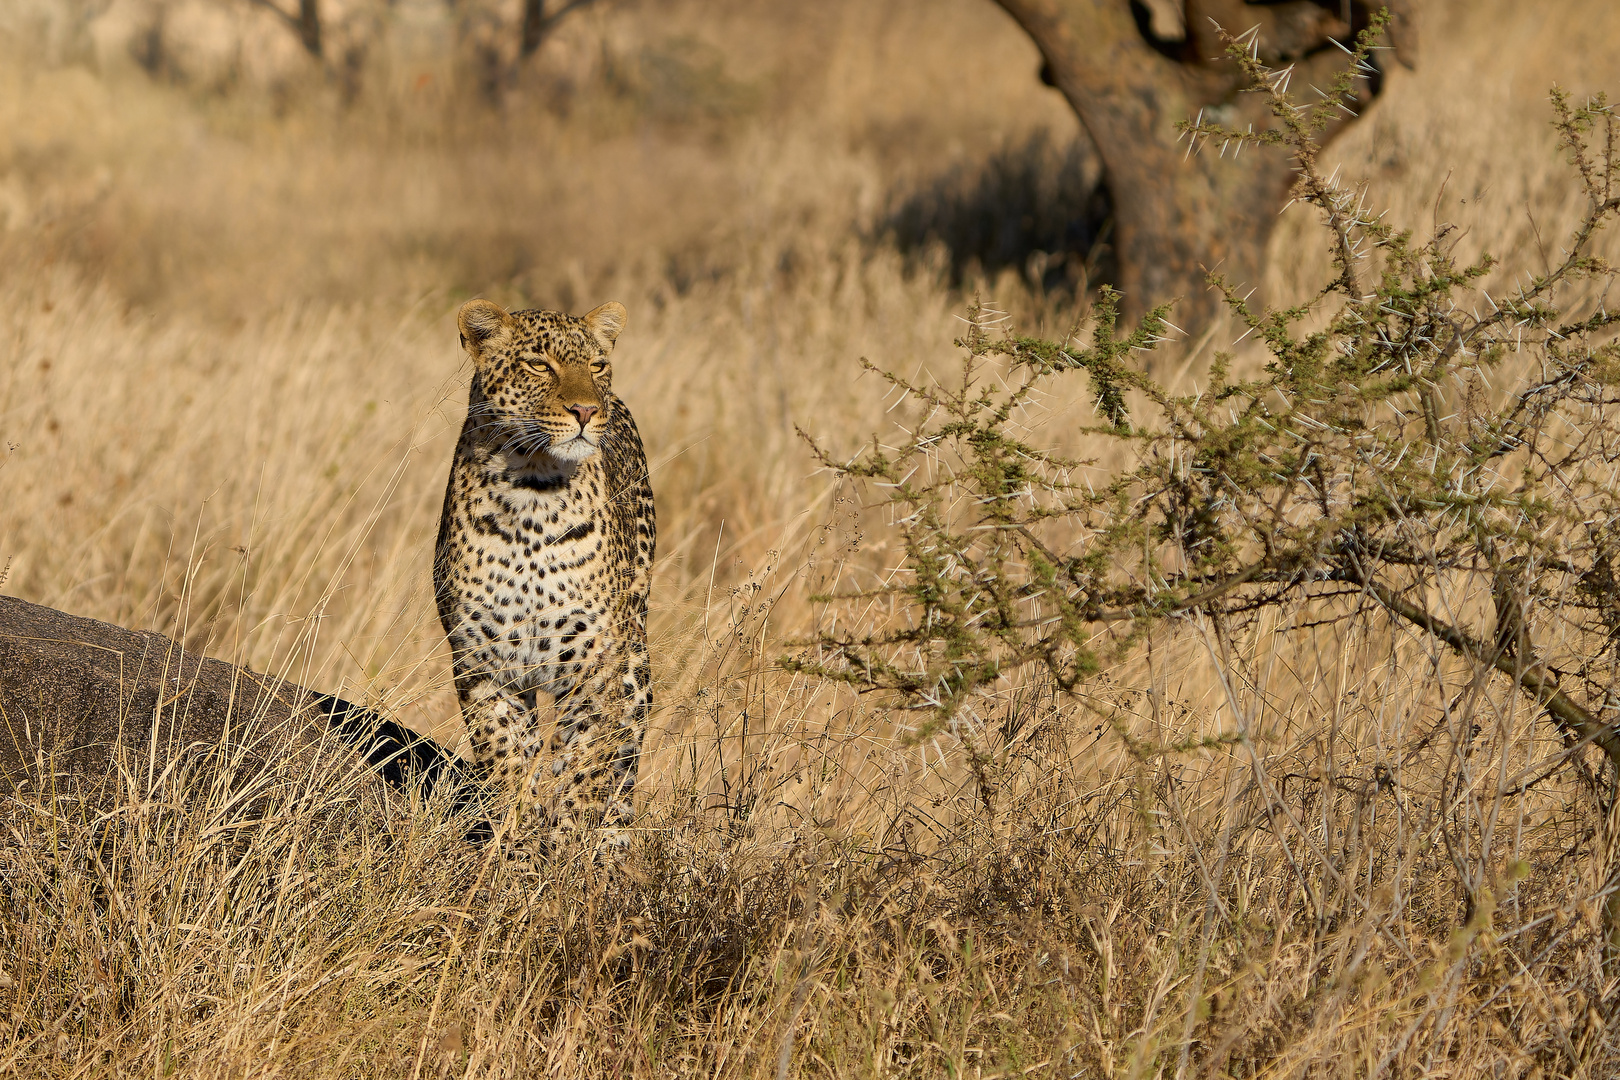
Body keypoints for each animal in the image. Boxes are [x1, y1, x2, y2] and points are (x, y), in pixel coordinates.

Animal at [437, 299, 657, 854]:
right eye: (540, 365)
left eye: (596, 366)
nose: (587, 411)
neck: (532, 495)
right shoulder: (484, 665)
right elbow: (509, 767)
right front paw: (517, 852)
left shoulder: (596, 670)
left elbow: (585, 769)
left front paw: (568, 854)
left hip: (635, 656)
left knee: (624, 758)